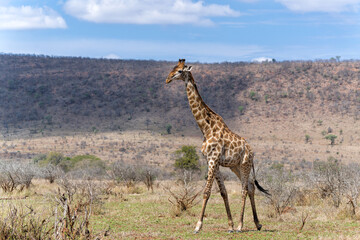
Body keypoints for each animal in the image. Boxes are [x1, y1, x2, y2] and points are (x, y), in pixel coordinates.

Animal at [165, 59, 268, 233]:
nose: (167, 79)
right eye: (172, 68)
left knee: (244, 188)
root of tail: (252, 152)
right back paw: (257, 223)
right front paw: (230, 225)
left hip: (245, 164)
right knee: (250, 186)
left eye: (179, 71)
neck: (206, 128)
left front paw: (198, 226)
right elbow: (223, 192)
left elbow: (206, 192)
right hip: (235, 166)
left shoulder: (213, 159)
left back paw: (241, 225)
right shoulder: (213, 161)